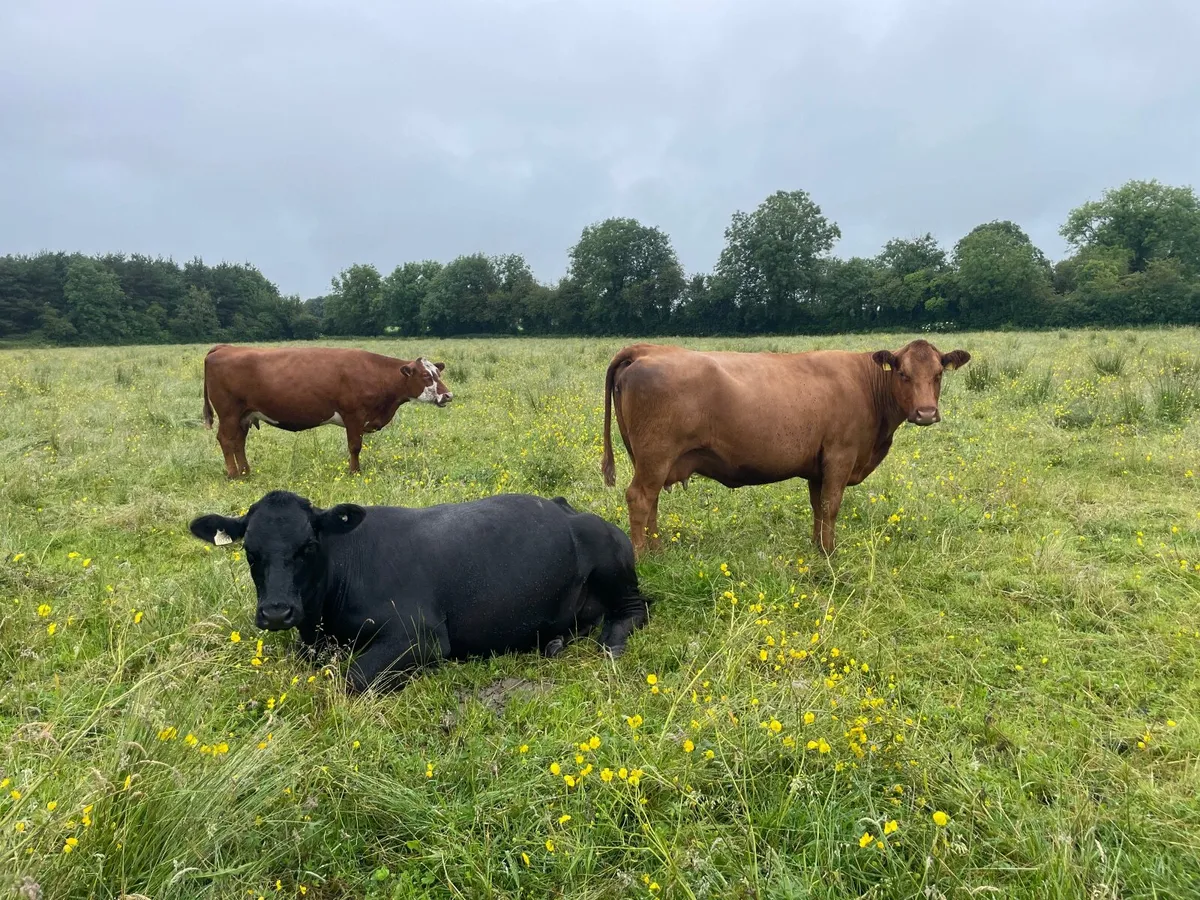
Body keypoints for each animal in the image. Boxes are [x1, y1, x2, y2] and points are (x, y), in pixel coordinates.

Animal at [188, 490, 650, 693]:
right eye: (250, 551)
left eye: (309, 546)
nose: (277, 611)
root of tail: (566, 506)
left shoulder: (421, 634)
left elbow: (351, 678)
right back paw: (553, 642)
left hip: (612, 564)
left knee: (636, 609)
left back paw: (611, 643)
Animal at [201, 344, 453, 478]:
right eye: (426, 376)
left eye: (438, 373)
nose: (448, 395)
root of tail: (225, 347)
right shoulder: (354, 415)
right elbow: (354, 446)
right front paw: (354, 472)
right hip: (229, 413)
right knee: (226, 439)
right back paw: (233, 474)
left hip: (244, 415)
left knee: (238, 442)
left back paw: (245, 471)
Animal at [600, 339, 971, 557]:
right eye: (903, 373)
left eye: (938, 374)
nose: (926, 413)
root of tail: (646, 349)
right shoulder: (841, 455)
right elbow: (832, 506)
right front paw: (831, 554)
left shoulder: (818, 466)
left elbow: (818, 507)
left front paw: (818, 547)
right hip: (656, 456)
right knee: (640, 499)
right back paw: (642, 557)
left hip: (652, 460)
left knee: (651, 502)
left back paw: (657, 550)